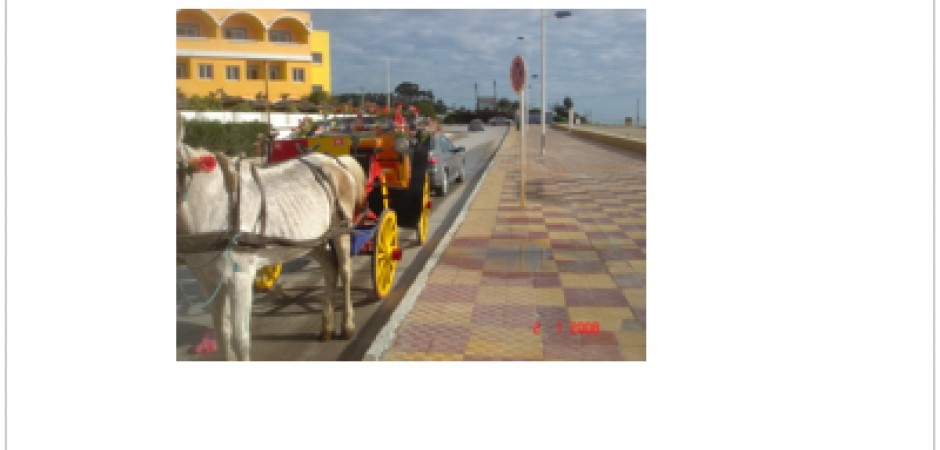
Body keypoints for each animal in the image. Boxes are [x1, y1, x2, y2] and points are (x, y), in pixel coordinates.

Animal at [174, 117, 366, 362]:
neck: (215, 203)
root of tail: (335, 161)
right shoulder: (208, 281)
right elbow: (223, 336)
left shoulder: (240, 278)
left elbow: (241, 340)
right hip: (310, 240)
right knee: (330, 267)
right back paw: (326, 327)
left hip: (341, 231)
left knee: (345, 270)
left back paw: (348, 325)